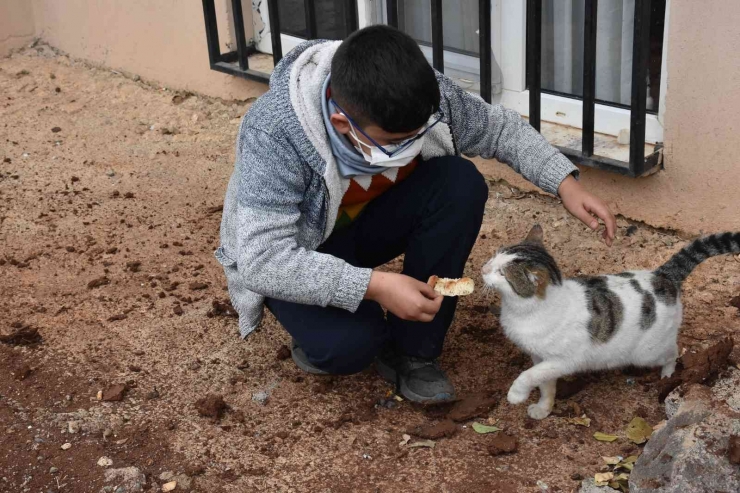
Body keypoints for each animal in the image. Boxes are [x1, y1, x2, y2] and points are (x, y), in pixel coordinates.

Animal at [480, 225, 740, 418]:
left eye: (502, 273)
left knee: (673, 352)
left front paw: (516, 395)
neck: (523, 311)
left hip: (648, 352)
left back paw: (667, 374)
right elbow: (545, 384)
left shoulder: (564, 361)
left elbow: (528, 375)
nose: (483, 268)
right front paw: (544, 408)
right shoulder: (540, 357)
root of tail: (662, 275)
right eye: (494, 256)